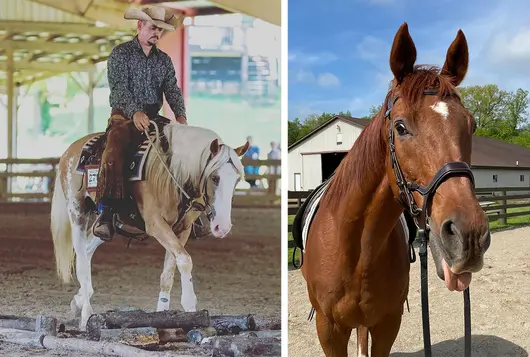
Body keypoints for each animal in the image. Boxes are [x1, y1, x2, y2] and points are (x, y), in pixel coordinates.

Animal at [49, 119, 248, 328]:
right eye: (215, 177)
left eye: (237, 180)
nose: (222, 227)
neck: (171, 174)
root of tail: (71, 149)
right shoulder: (156, 224)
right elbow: (185, 260)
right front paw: (190, 306)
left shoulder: (181, 230)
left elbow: (168, 272)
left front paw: (163, 313)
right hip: (77, 211)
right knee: (80, 260)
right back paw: (86, 314)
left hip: (105, 227)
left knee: (87, 250)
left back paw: (79, 300)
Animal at [294, 23, 488, 354]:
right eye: (400, 127)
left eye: (471, 125)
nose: (470, 235)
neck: (357, 248)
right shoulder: (328, 329)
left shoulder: (387, 324)